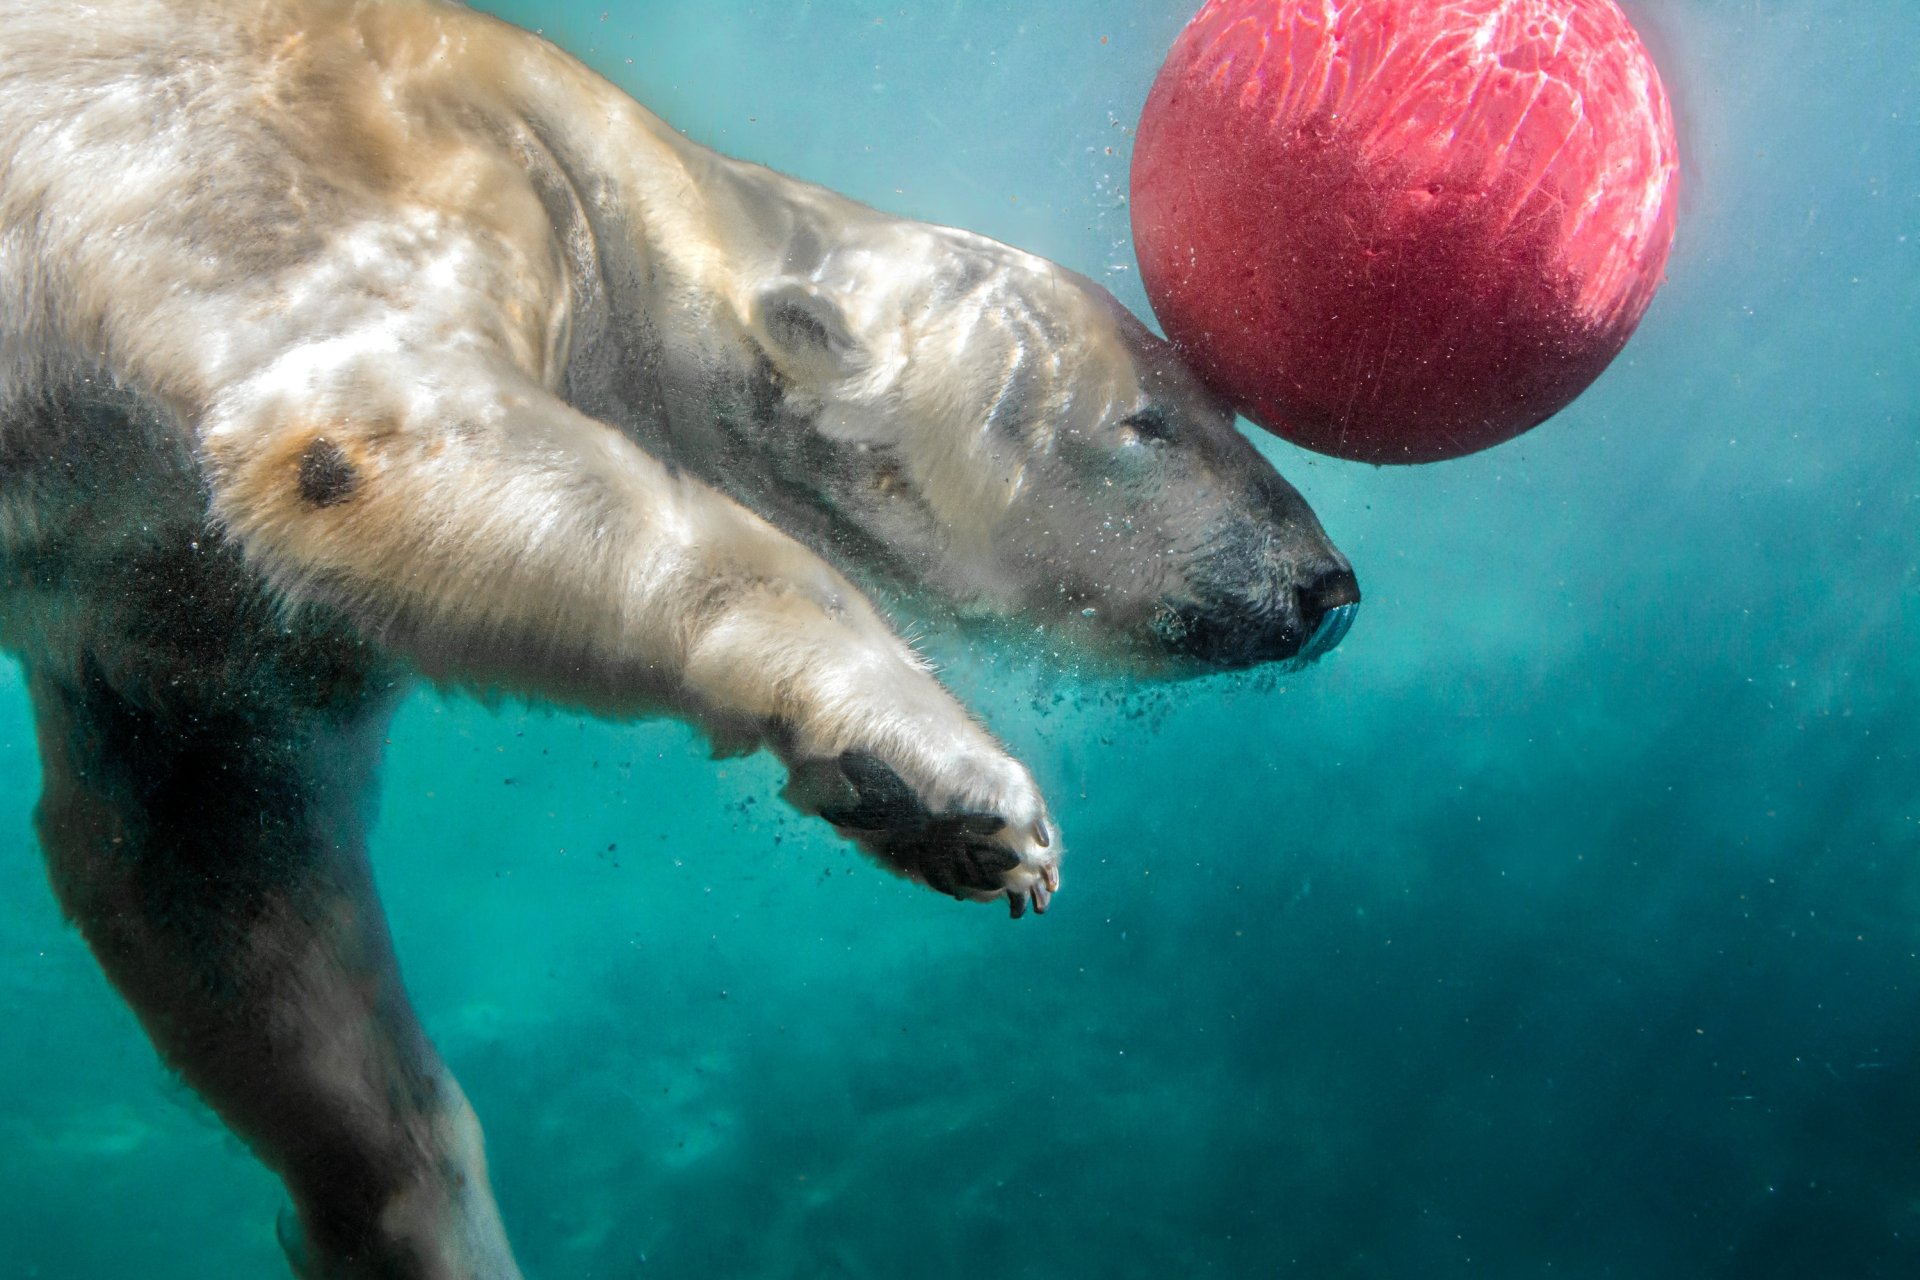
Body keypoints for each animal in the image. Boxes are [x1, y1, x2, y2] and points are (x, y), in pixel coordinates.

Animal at [0, 0, 1361, 1275]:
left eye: (1216, 409)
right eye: (1150, 423)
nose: (1325, 585)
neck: (605, 179)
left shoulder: (174, 581)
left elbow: (206, 823)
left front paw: (417, 1212)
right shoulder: (328, 173)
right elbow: (376, 435)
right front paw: (949, 784)